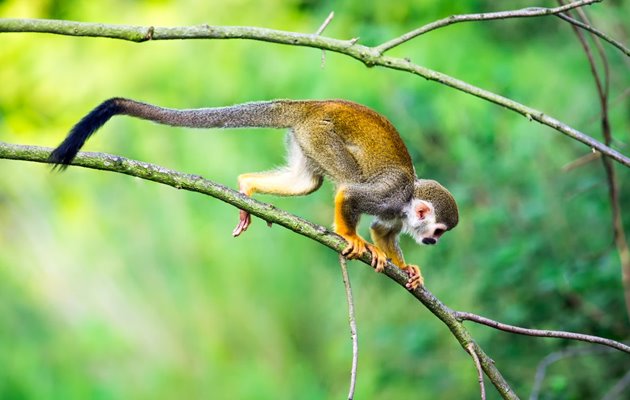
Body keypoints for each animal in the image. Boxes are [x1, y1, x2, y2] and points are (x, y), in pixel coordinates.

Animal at [50, 98, 460, 290]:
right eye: (439, 231)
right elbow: (351, 197)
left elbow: (383, 230)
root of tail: (311, 104)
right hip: (320, 133)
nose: (435, 242)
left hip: (306, 138)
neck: (407, 202)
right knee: (343, 181)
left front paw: (407, 268)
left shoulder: (395, 212)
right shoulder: (390, 195)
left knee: (307, 182)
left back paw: (246, 186)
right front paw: (352, 237)